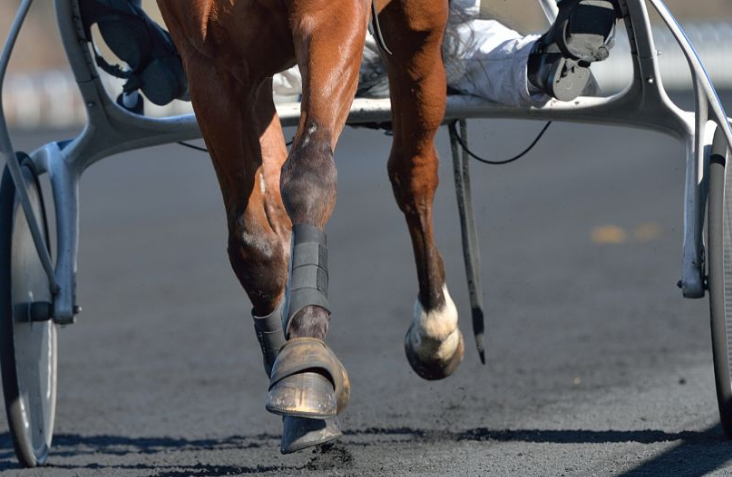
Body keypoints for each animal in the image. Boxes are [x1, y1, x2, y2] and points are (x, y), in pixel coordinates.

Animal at [156, 0, 463, 453]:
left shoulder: (330, 19)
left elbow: (308, 174)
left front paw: (304, 362)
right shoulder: (210, 62)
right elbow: (254, 245)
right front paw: (293, 377)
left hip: (416, 30)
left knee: (412, 168)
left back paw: (434, 327)